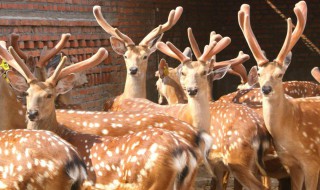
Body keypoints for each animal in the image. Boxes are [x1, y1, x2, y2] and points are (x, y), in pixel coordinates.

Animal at [3, 43, 202, 190]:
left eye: (49, 95)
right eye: (27, 93)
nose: (32, 113)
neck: (63, 133)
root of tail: (185, 153)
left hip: (152, 182)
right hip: (187, 183)